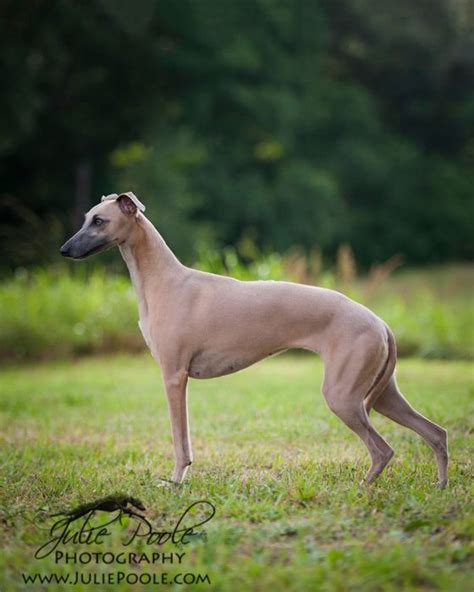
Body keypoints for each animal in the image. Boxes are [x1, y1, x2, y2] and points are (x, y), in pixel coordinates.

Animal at [60, 192, 448, 488]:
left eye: (99, 221)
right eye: (86, 218)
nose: (64, 250)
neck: (164, 281)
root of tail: (381, 322)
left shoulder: (174, 377)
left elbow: (180, 442)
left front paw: (175, 483)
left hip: (344, 396)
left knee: (383, 449)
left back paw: (363, 487)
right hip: (381, 395)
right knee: (436, 433)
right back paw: (440, 485)